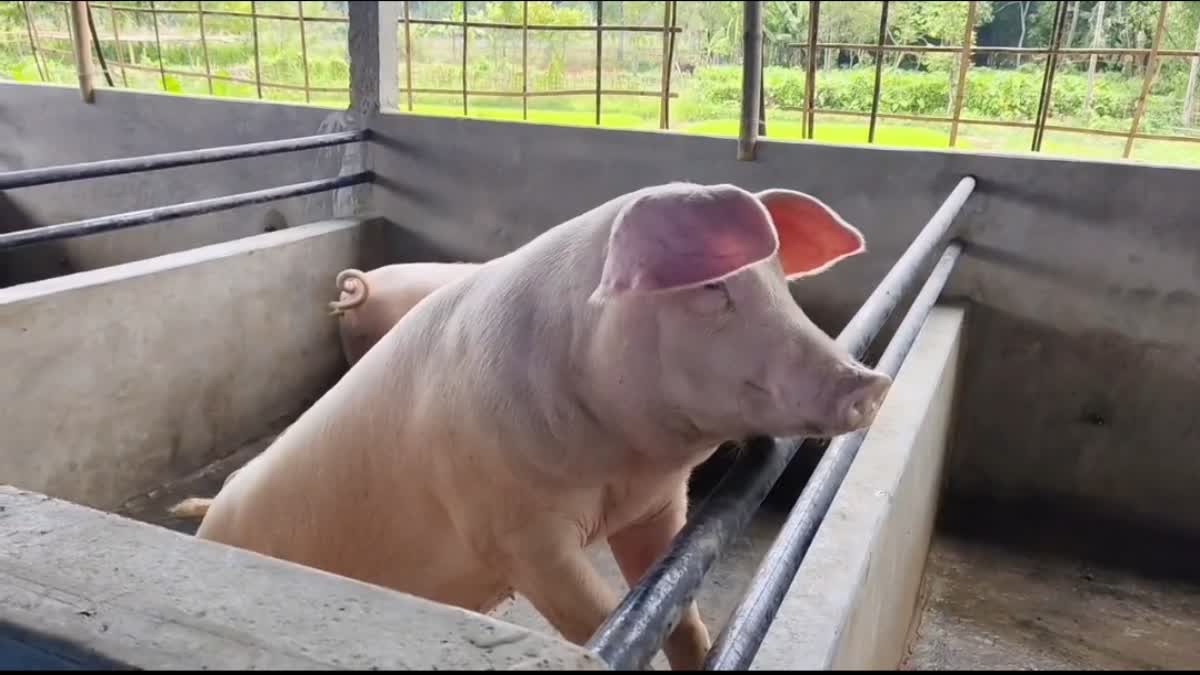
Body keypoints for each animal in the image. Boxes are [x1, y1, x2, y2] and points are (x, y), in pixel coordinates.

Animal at [191, 182, 892, 670]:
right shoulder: (516, 531)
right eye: (712, 288)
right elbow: (598, 621)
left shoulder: (656, 506)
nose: (871, 383)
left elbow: (683, 615)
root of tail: (209, 518)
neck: (624, 466)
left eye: (780, 283)